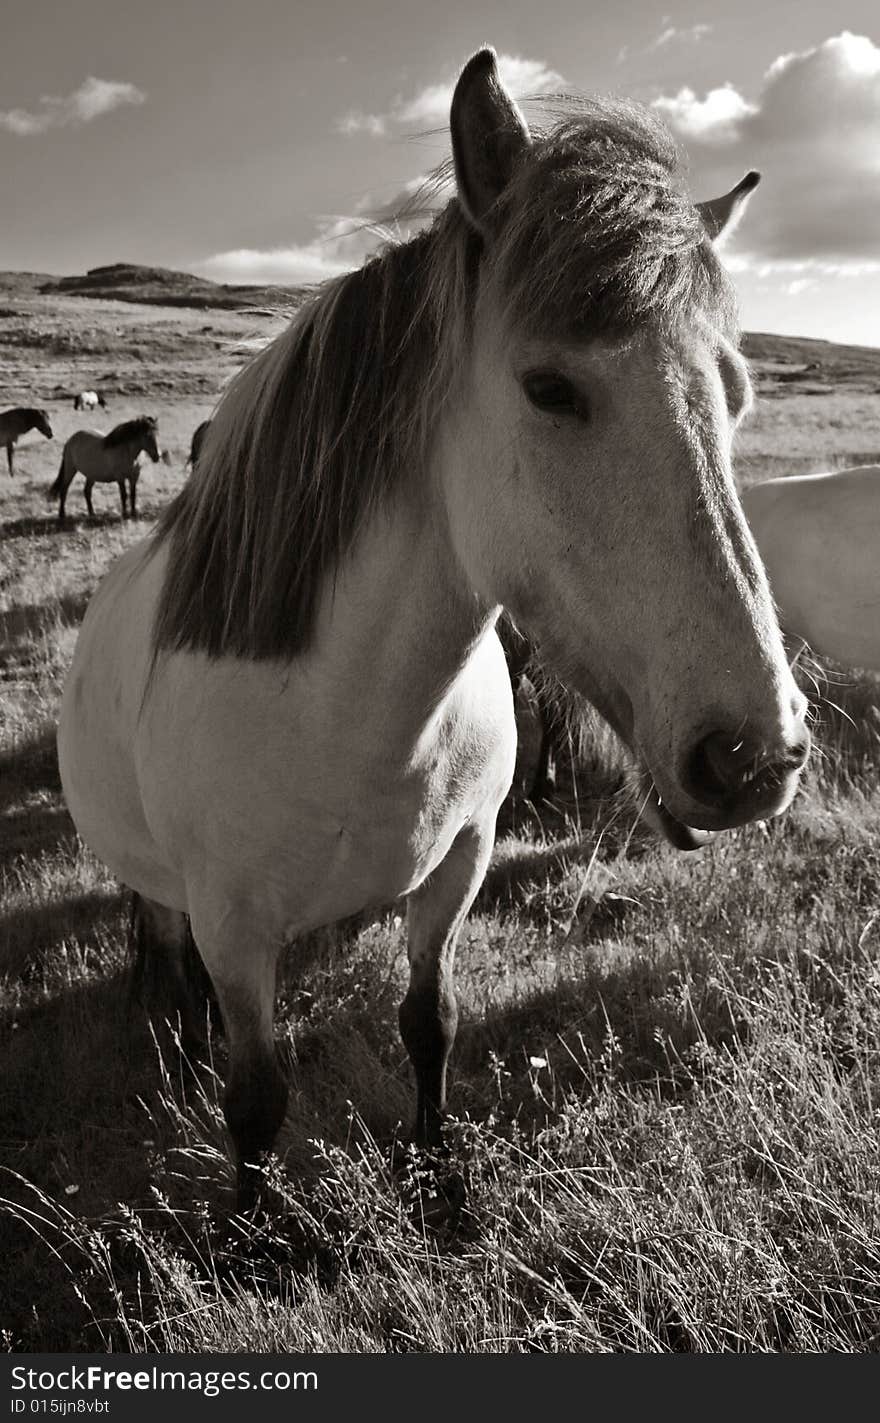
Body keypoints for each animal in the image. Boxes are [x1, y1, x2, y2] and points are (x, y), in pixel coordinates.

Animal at [56, 55, 808, 1212]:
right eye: (549, 387)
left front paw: (435, 1176)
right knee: (170, 956)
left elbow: (430, 1022)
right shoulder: (234, 925)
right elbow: (256, 1100)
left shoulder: (459, 867)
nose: (754, 755)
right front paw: (254, 1231)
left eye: (737, 394)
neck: (348, 717)